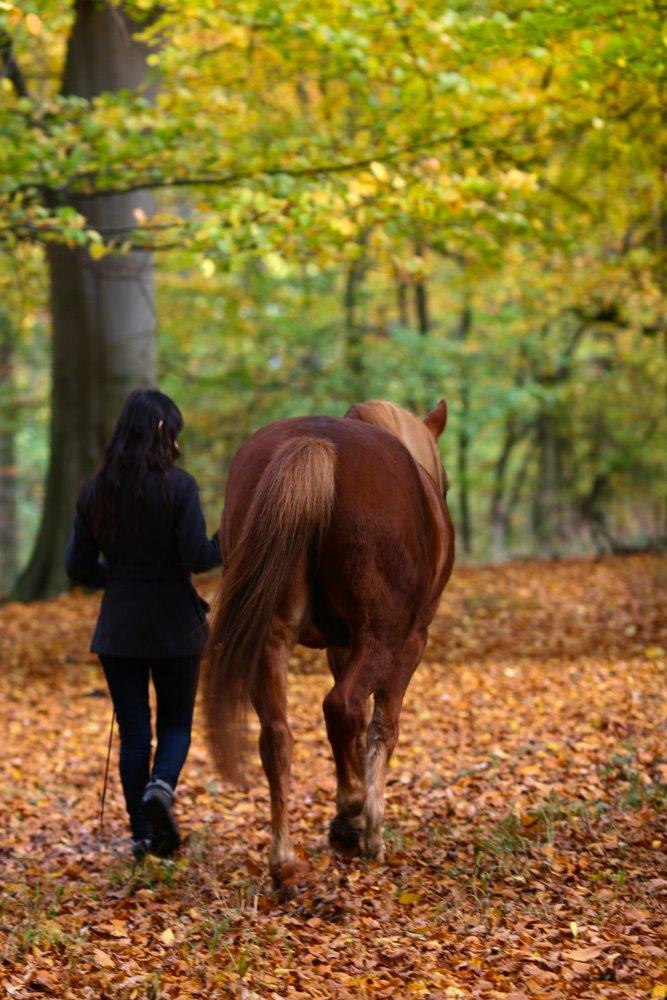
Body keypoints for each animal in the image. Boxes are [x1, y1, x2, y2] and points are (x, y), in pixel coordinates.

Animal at [206, 398, 456, 892]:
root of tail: (313, 444)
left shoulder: (341, 647)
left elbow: (353, 731)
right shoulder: (409, 642)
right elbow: (382, 725)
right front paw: (369, 825)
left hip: (271, 636)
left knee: (278, 735)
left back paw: (285, 859)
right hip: (383, 635)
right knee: (342, 705)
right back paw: (353, 819)